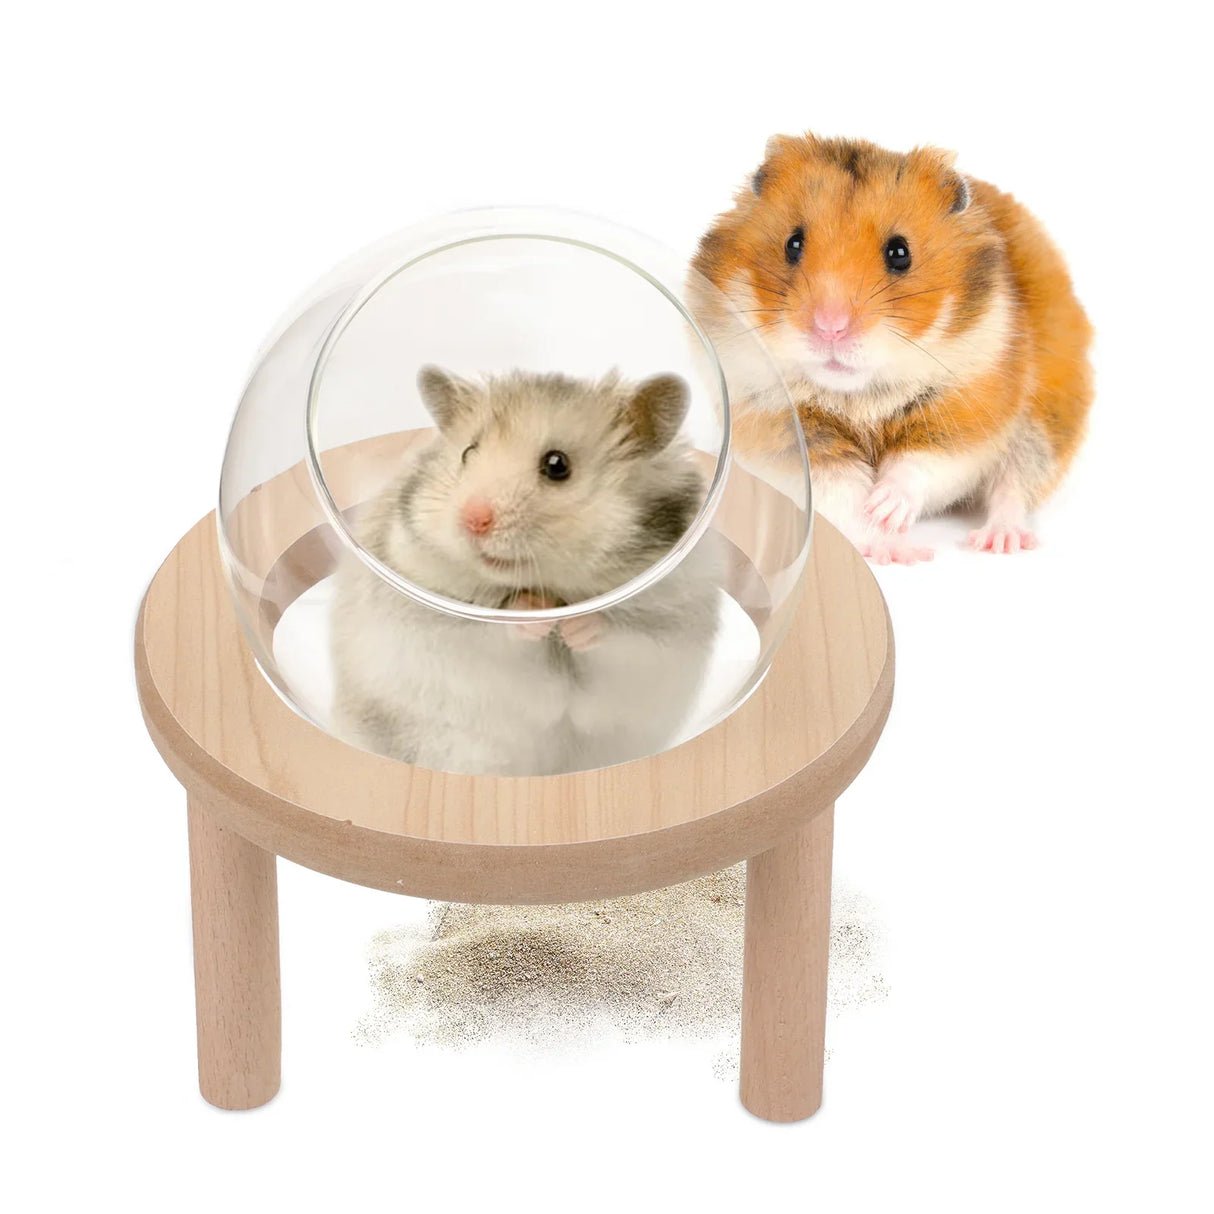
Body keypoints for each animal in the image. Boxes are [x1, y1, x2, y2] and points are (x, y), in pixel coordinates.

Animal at [329, 366, 721, 776]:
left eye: (557, 465)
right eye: (468, 452)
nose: (473, 520)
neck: (548, 585)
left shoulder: (668, 629)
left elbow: (619, 636)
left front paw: (575, 625)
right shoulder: (437, 624)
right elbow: (496, 630)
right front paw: (535, 614)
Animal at [689, 132, 1093, 562]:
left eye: (900, 253)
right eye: (792, 244)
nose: (830, 327)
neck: (858, 396)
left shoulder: (965, 413)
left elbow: (921, 465)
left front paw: (886, 511)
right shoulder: (778, 426)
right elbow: (840, 488)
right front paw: (888, 544)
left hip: (1043, 426)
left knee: (1013, 489)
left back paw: (1000, 542)